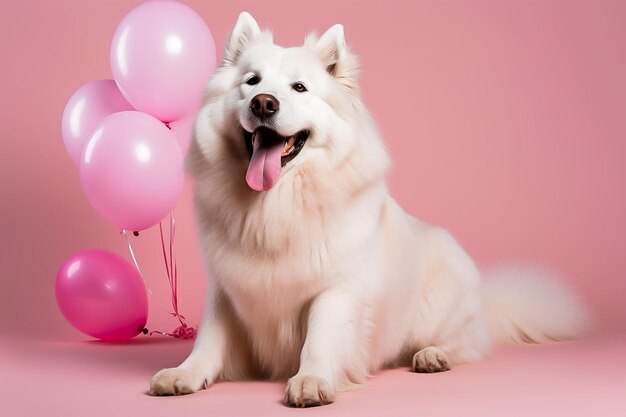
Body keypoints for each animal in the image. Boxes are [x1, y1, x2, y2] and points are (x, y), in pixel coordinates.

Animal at [149, 12, 588, 406]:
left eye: (299, 88)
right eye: (251, 82)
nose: (263, 104)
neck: (276, 206)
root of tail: (485, 300)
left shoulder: (335, 289)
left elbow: (319, 339)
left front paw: (311, 381)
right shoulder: (227, 290)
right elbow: (209, 340)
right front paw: (184, 375)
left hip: (439, 307)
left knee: (466, 345)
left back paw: (433, 355)